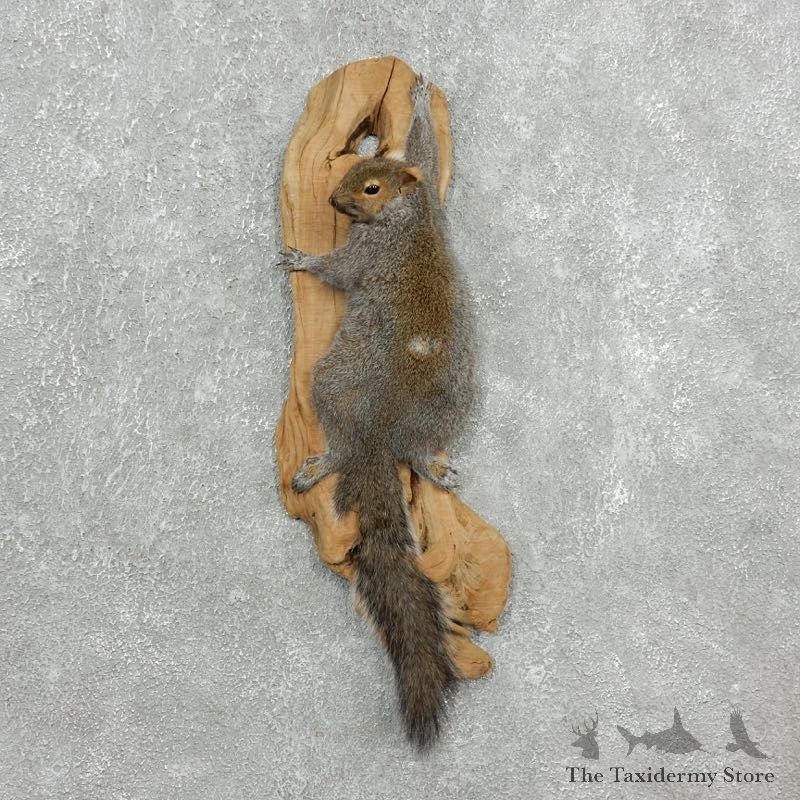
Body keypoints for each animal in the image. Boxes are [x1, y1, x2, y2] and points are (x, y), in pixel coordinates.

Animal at [279, 78, 477, 748]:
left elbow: (338, 271)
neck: (408, 216)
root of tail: (380, 434)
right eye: (357, 167)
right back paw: (432, 465)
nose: (332, 200)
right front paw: (418, 101)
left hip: (332, 381)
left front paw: (303, 260)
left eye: (369, 187)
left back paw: (324, 463)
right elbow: (430, 154)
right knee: (417, 446)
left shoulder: (368, 250)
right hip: (452, 401)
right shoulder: (435, 195)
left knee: (342, 443)